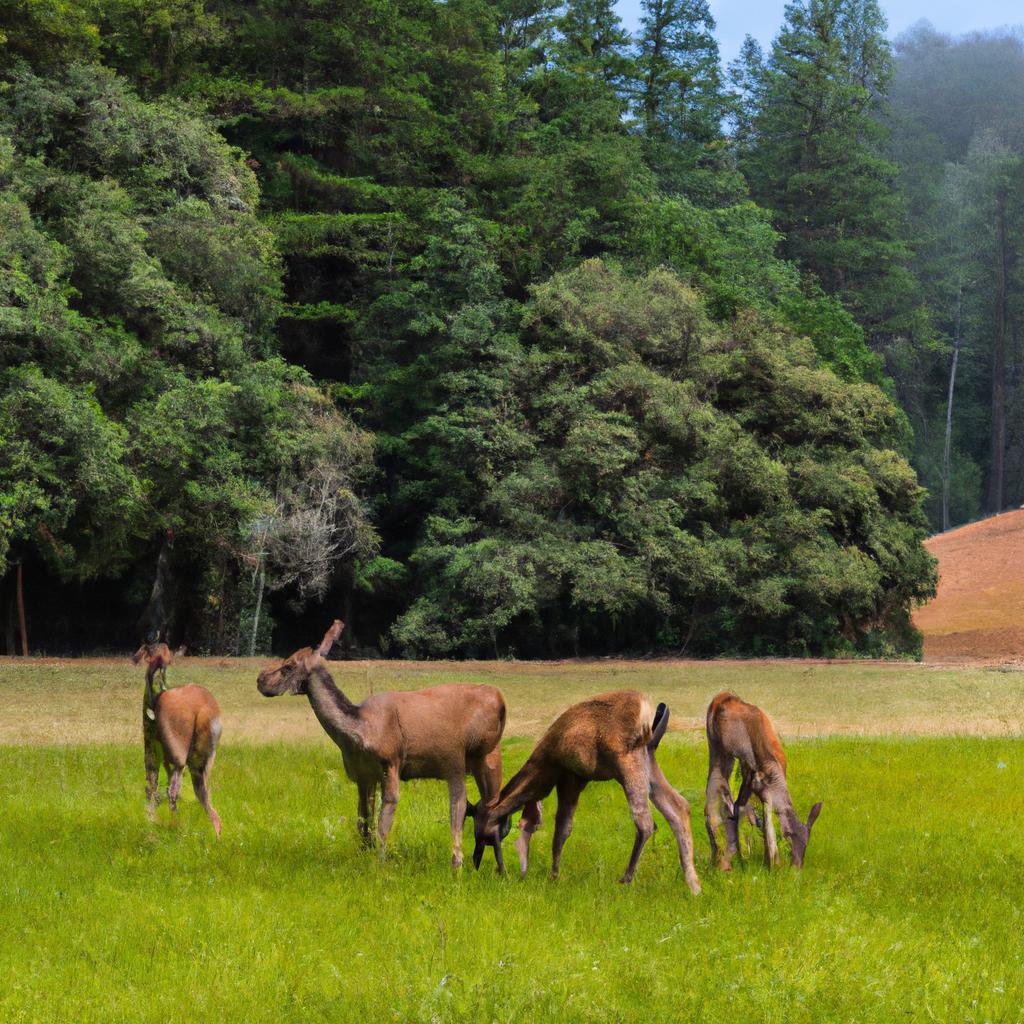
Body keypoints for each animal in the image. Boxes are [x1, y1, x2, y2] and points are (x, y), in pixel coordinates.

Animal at [133, 643, 221, 835]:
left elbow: (152, 787)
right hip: (203, 760)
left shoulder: (152, 750)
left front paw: (151, 821)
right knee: (205, 796)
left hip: (179, 757)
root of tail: (202, 712)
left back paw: (174, 827)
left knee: (172, 791)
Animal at [256, 618, 507, 868]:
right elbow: (363, 820)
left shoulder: (391, 762)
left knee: (476, 807)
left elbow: (383, 824)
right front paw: (362, 854)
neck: (357, 733)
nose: (260, 679)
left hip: (476, 758)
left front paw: (380, 863)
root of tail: (501, 701)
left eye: (288, 665)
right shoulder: (362, 775)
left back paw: (463, 864)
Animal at [468, 692, 700, 892]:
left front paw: (553, 876)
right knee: (679, 807)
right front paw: (553, 875)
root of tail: (651, 711)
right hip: (649, 760)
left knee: (645, 822)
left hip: (627, 761)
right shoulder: (575, 778)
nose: (475, 860)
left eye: (478, 825)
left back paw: (626, 879)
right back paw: (693, 882)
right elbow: (563, 829)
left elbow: (561, 829)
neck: (541, 772)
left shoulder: (570, 776)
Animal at [704, 692, 823, 868]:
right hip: (731, 752)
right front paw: (770, 862)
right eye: (789, 839)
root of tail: (722, 698)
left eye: (807, 844)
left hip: (718, 752)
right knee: (729, 803)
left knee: (715, 798)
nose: (797, 867)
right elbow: (761, 817)